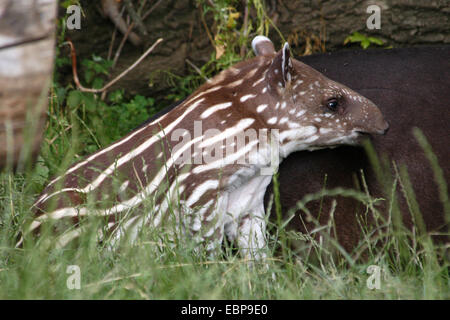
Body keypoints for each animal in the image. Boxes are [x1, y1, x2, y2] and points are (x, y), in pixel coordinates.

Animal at [18, 36, 386, 258]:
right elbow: (206, 253)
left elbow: (257, 254)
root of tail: (22, 240)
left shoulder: (249, 198)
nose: (383, 124)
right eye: (333, 103)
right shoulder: (200, 196)